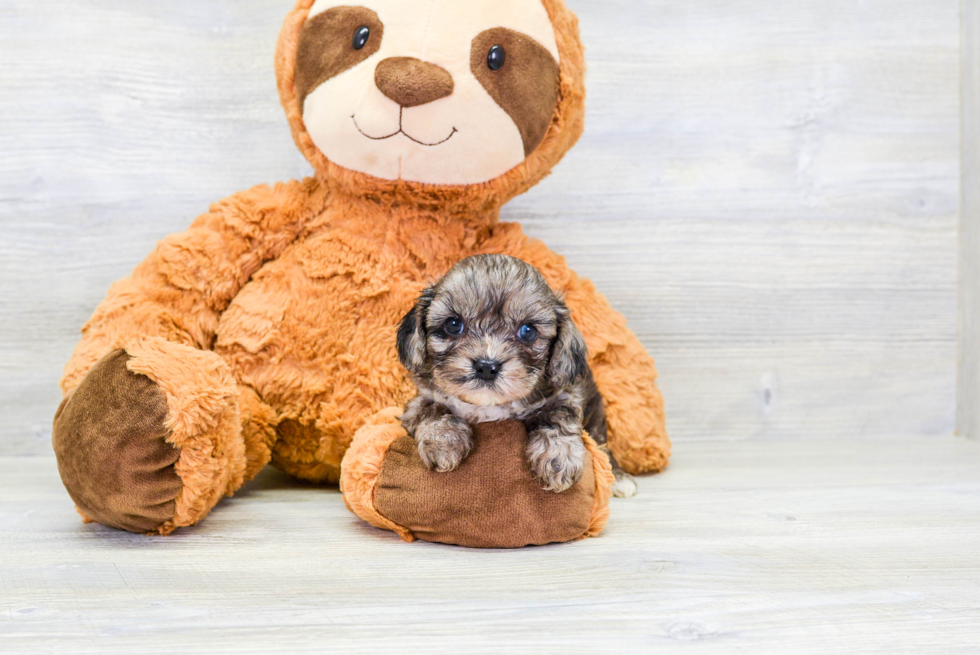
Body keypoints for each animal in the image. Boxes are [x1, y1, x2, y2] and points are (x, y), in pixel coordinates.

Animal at [394, 255, 640, 498]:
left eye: (527, 331)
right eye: (453, 324)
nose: (486, 366)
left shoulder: (564, 395)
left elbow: (558, 416)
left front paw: (559, 457)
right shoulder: (419, 399)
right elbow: (432, 409)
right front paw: (443, 441)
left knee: (601, 444)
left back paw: (619, 478)